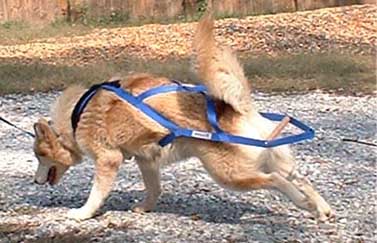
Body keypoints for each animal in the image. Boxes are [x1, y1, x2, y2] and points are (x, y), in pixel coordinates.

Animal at [32, 13, 332, 222]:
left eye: (39, 155)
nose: (34, 182)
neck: (77, 113)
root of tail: (240, 110)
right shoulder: (147, 161)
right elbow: (153, 188)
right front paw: (145, 207)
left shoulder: (108, 159)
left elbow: (96, 194)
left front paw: (82, 213)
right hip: (274, 160)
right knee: (300, 178)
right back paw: (322, 208)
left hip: (229, 174)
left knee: (277, 181)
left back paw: (302, 202)